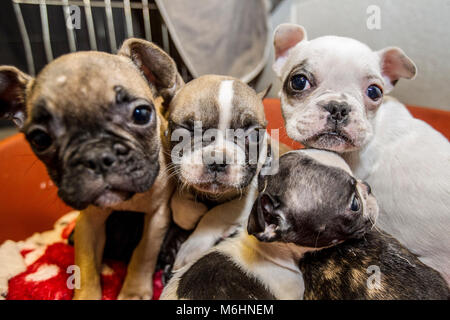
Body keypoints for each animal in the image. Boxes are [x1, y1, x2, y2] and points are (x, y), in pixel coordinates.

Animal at [0, 40, 183, 300]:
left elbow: (143, 253)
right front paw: (87, 294)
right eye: (40, 139)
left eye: (141, 114)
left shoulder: (157, 217)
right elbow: (86, 267)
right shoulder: (89, 222)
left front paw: (134, 291)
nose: (97, 156)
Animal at [163, 75, 274, 272]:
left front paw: (191, 247)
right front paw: (188, 213)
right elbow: (179, 202)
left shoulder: (251, 197)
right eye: (187, 129)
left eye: (253, 134)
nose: (217, 160)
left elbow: (216, 214)